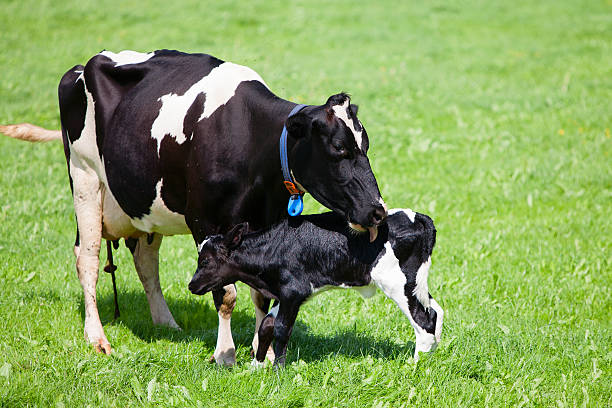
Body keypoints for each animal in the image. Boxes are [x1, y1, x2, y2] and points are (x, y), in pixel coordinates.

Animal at [189, 207, 442, 366]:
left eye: (205, 261)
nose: (191, 285)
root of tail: (418, 218)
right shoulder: (285, 295)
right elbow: (266, 325)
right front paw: (256, 366)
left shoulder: (292, 292)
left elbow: (281, 329)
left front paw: (277, 370)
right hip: (416, 282)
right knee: (436, 310)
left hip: (398, 283)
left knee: (424, 320)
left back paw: (416, 365)